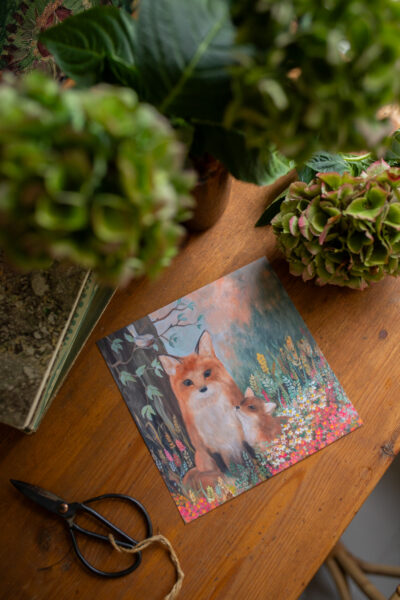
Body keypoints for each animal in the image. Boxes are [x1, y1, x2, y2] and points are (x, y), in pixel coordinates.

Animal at [159, 330, 245, 481]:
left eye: (207, 373)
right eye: (188, 382)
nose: (203, 389)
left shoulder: (239, 434)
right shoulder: (209, 446)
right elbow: (225, 469)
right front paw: (233, 480)